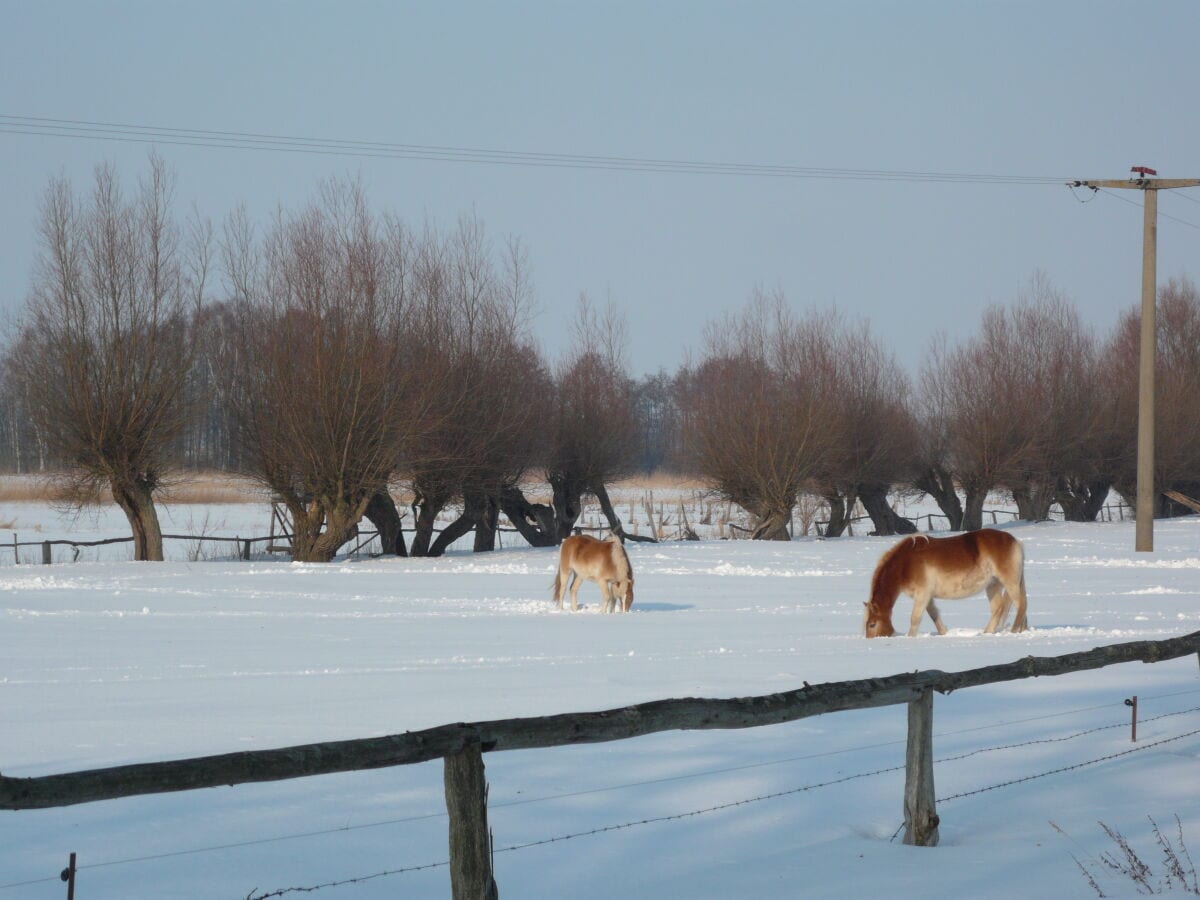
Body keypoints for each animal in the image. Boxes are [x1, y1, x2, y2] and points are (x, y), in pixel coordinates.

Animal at [864, 532, 1032, 638]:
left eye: (872, 624)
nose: (871, 640)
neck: (906, 563)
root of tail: (1016, 542)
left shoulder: (922, 594)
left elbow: (915, 618)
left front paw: (910, 638)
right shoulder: (927, 596)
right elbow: (934, 615)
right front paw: (944, 633)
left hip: (1009, 583)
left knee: (1021, 605)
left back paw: (1014, 630)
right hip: (993, 585)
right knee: (999, 608)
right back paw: (989, 632)